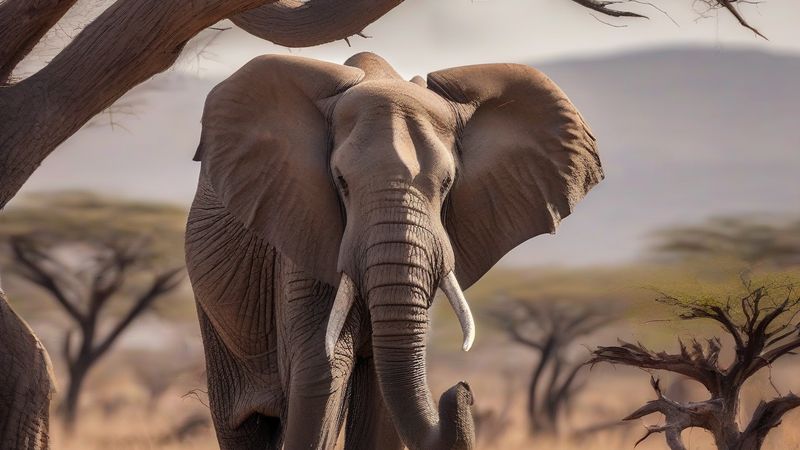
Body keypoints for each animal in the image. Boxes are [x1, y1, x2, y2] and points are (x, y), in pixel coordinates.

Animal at [185, 51, 603, 450]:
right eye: (341, 182)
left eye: (447, 183)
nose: (464, 389)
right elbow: (322, 367)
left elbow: (384, 390)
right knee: (240, 423)